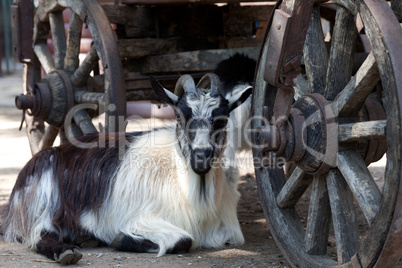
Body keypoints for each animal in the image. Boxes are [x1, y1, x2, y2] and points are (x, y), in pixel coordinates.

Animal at [0, 72, 251, 264]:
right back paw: (66, 252)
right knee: (39, 234)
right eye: (180, 116)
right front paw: (120, 240)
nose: (201, 156)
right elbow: (183, 240)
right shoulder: (141, 217)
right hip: (43, 198)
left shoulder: (227, 231)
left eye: (222, 119)